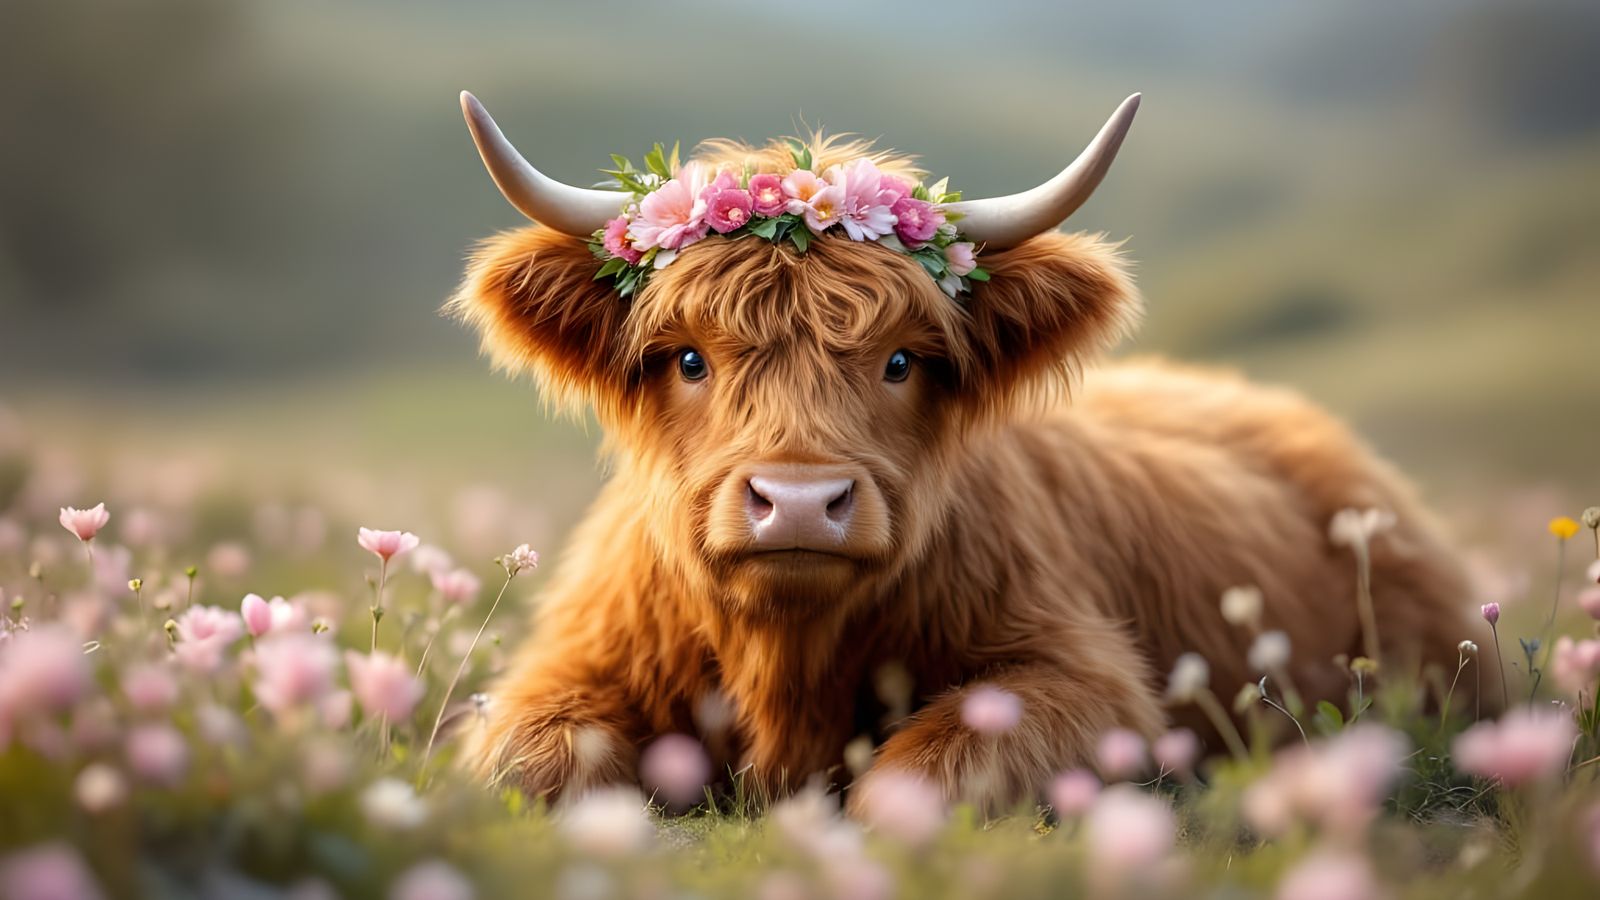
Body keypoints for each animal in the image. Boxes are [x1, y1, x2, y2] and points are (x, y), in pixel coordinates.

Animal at [445, 91, 1481, 811]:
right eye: (689, 358)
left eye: (902, 361)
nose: (798, 501)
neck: (787, 660)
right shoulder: (568, 668)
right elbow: (526, 764)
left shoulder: (1089, 681)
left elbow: (927, 770)